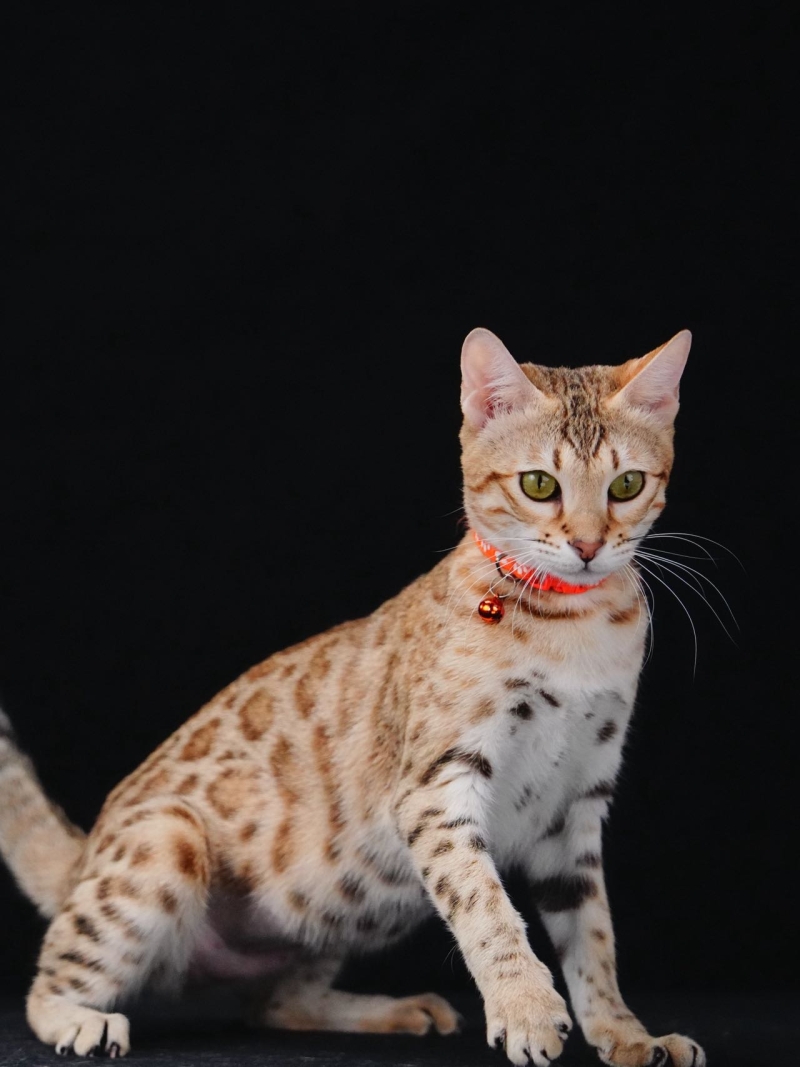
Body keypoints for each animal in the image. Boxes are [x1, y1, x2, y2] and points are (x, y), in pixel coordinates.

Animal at [0, 327, 705, 1067]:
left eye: (627, 484)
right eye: (539, 484)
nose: (590, 545)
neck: (574, 623)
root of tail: (82, 859)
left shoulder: (575, 805)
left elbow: (594, 939)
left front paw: (628, 1034)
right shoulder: (437, 786)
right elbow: (486, 906)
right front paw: (527, 1009)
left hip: (344, 904)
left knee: (275, 1002)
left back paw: (393, 1008)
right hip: (168, 839)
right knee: (48, 979)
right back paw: (78, 1020)